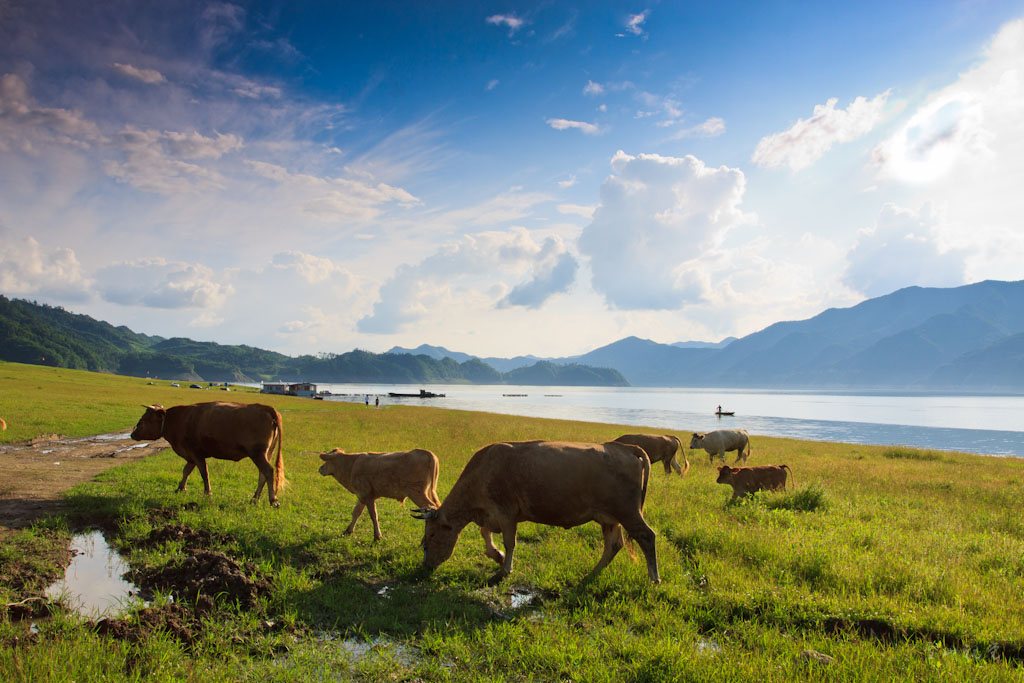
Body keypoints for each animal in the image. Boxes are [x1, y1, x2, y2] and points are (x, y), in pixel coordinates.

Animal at [411, 440, 659, 585]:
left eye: (431, 535)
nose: (426, 566)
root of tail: (625, 448)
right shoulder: (490, 514)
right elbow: (485, 534)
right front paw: (497, 556)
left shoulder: (506, 513)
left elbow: (510, 542)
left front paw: (504, 570)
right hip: (609, 518)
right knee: (614, 545)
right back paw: (591, 574)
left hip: (627, 512)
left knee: (647, 536)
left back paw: (654, 579)